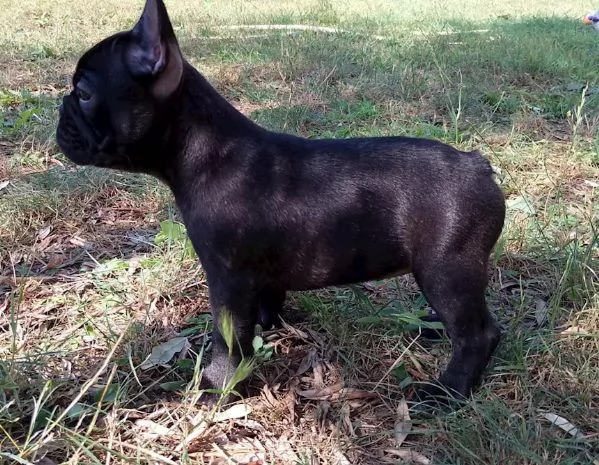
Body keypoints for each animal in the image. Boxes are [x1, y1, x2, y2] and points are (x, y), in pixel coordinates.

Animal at [56, 0, 506, 406]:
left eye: (84, 93)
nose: (60, 110)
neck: (207, 153)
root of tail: (476, 164)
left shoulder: (227, 279)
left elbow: (227, 337)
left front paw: (218, 386)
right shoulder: (257, 276)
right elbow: (264, 306)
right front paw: (268, 329)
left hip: (447, 267)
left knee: (476, 334)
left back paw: (447, 392)